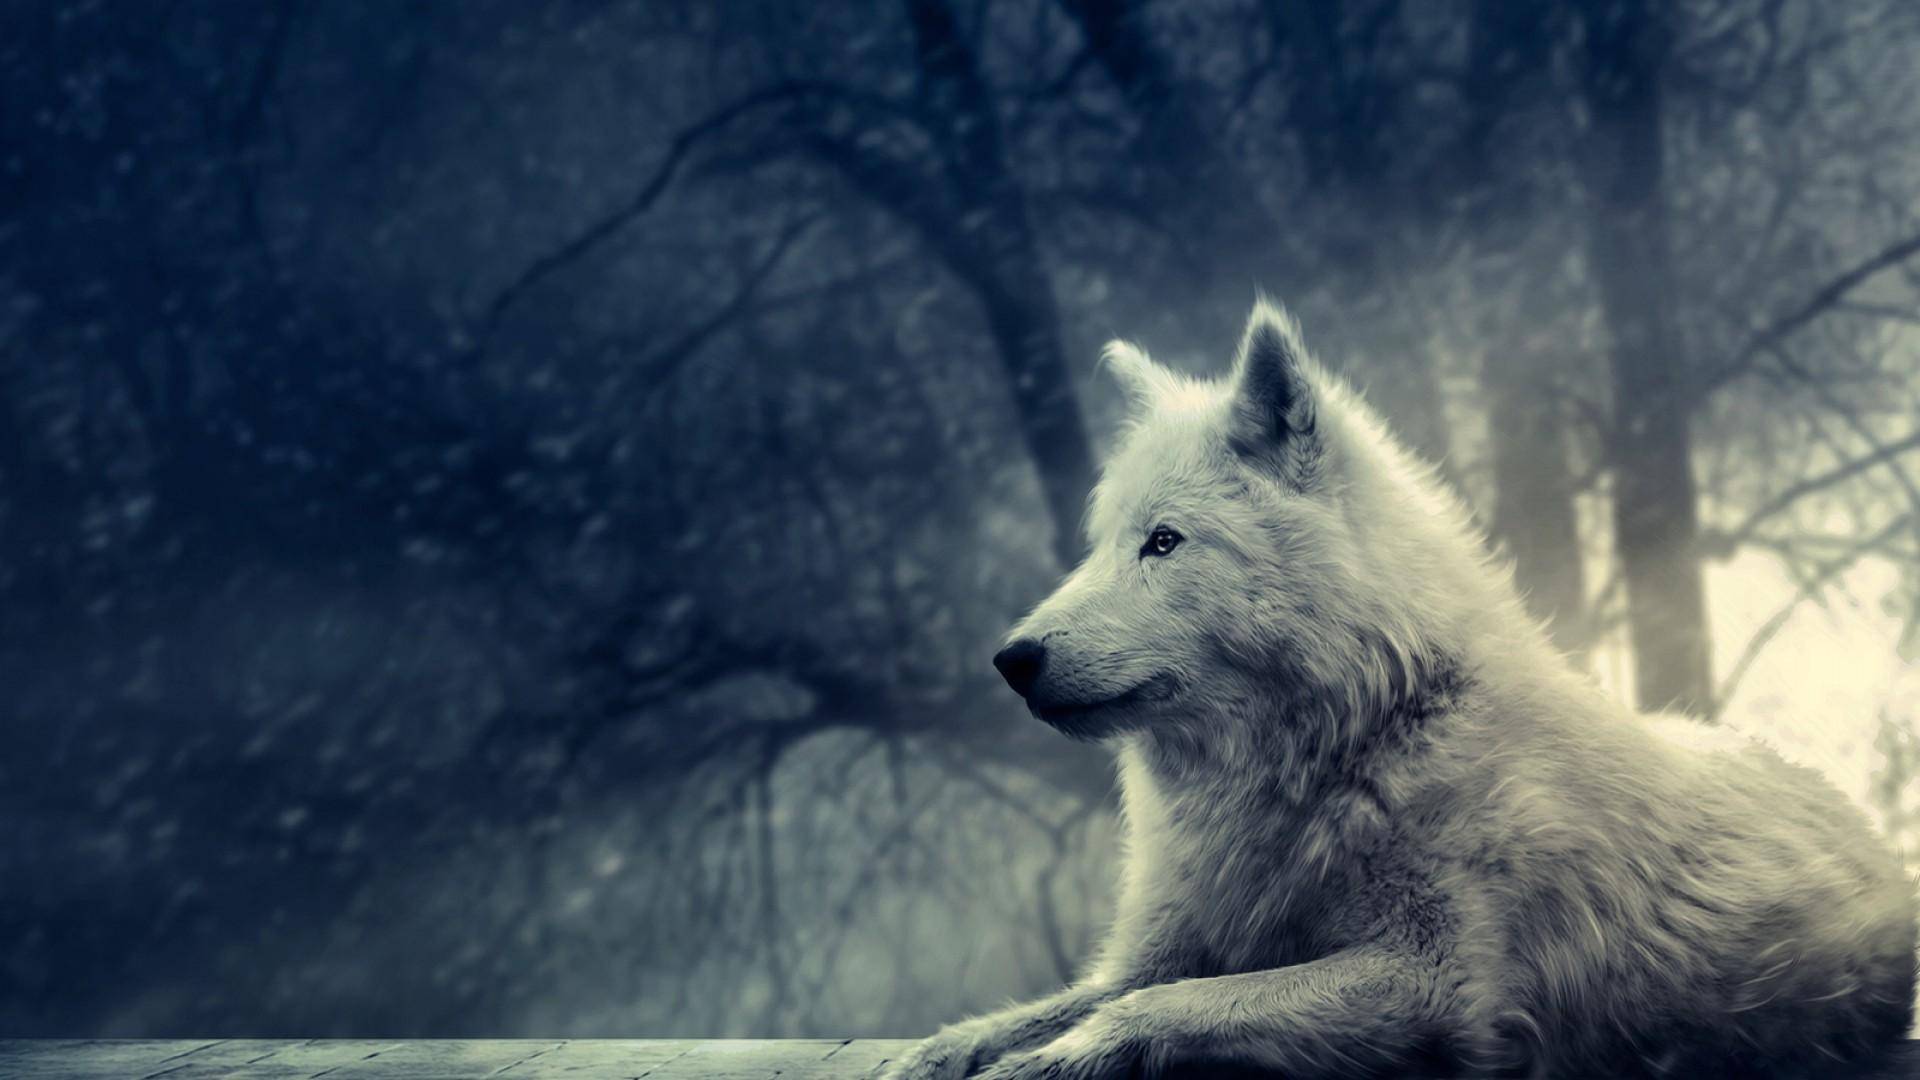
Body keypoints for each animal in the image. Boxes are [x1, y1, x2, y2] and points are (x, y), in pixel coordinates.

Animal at [881, 303, 1916, 1079]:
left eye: (1164, 542)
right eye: (1100, 545)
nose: (1011, 658)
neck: (1355, 740)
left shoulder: (1435, 982)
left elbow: (1163, 1007)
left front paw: (1052, 1060)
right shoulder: (1157, 948)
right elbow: (1031, 1013)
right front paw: (939, 1054)